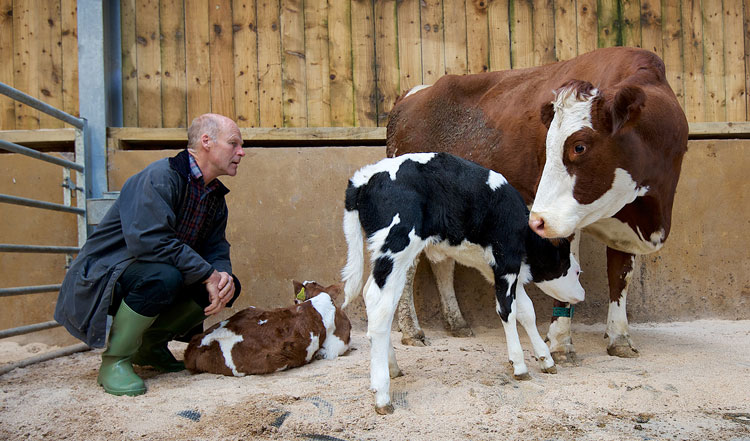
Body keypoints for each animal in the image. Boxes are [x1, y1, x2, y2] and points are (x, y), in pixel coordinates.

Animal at [342, 151, 588, 412]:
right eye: (576, 271)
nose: (582, 294)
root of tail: (363, 178)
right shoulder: (507, 262)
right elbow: (507, 311)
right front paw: (520, 365)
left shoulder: (499, 270)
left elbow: (526, 311)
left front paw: (545, 359)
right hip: (396, 246)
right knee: (380, 305)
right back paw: (382, 394)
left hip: (389, 257)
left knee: (374, 298)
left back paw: (393, 368)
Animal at [390, 47, 692, 358]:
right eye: (547, 145)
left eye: (579, 146)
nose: (534, 220)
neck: (648, 213)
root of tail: (413, 93)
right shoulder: (559, 218)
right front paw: (560, 343)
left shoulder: (624, 222)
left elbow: (620, 276)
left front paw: (619, 338)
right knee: (408, 266)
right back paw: (412, 330)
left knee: (442, 262)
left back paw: (456, 322)